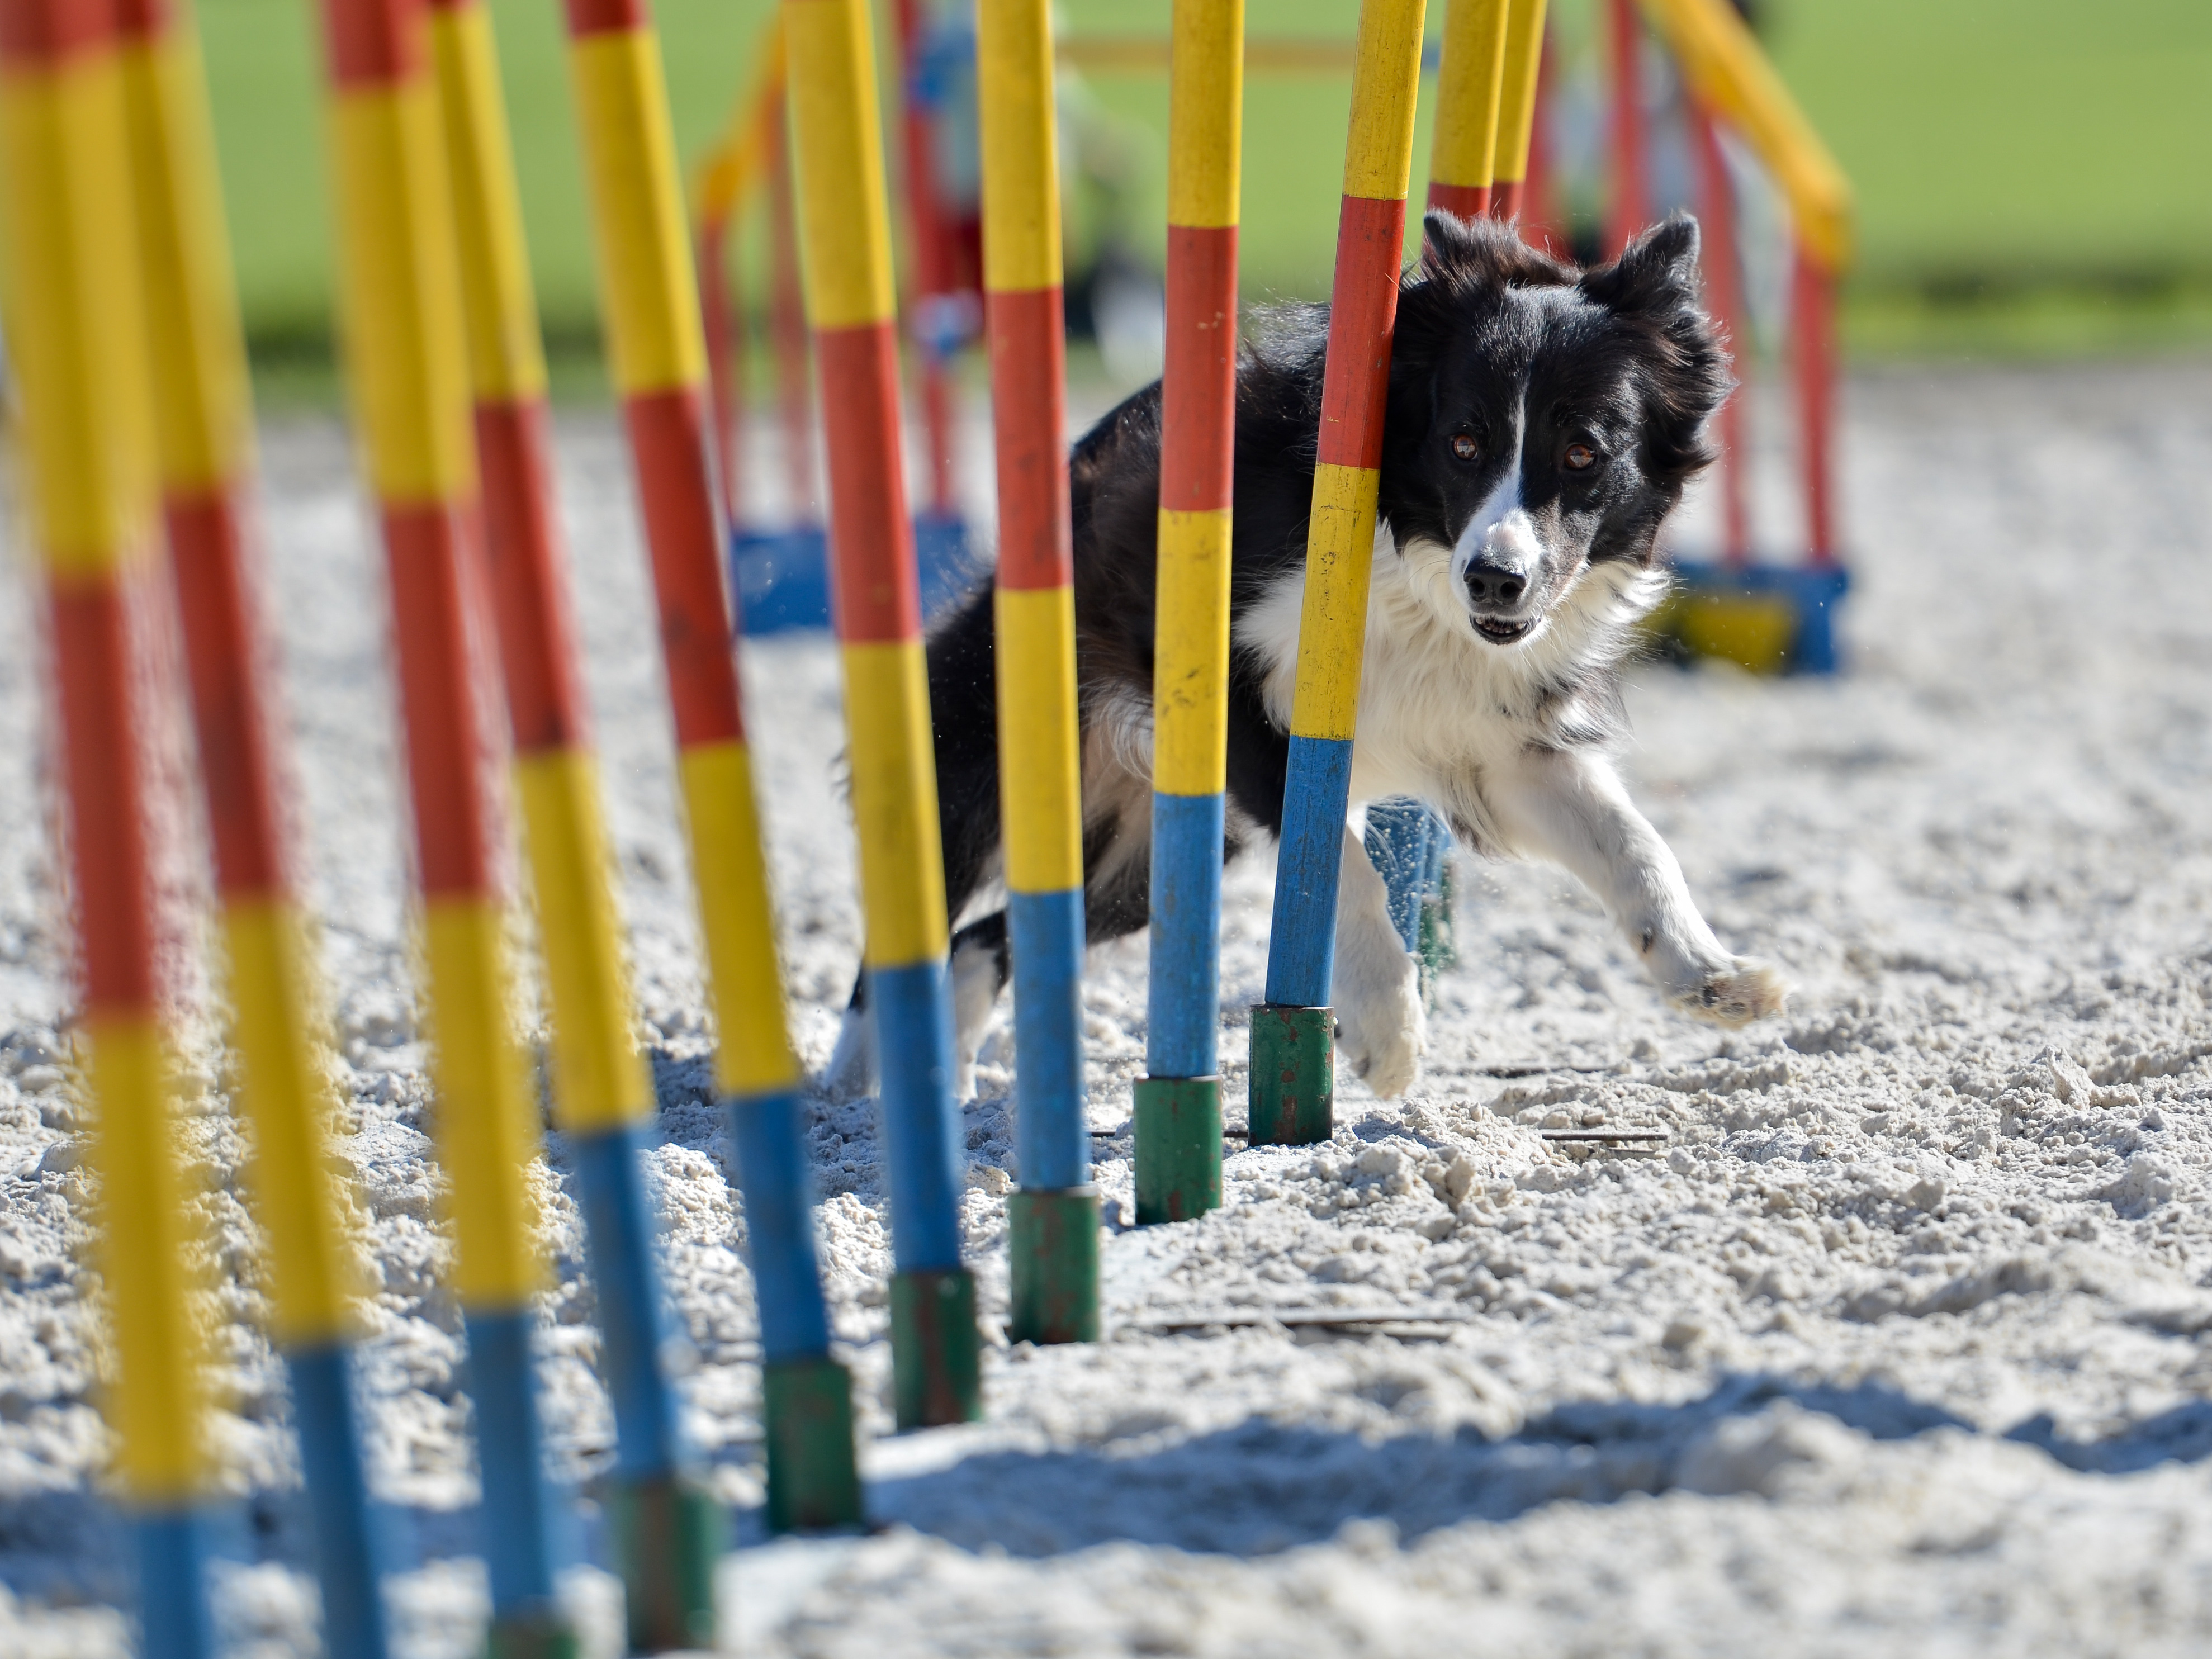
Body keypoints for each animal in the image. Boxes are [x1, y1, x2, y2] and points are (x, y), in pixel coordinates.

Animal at [827, 214, 1778, 1110]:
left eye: (1584, 451)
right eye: (1463, 443)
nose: (1496, 580)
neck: (1413, 567)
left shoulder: (1494, 741)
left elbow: (1632, 841)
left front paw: (1710, 973)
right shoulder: (1233, 696)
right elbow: (1341, 867)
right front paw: (1386, 1030)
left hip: (1170, 845)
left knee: (989, 939)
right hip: (997, 740)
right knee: (918, 921)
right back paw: (855, 1092)